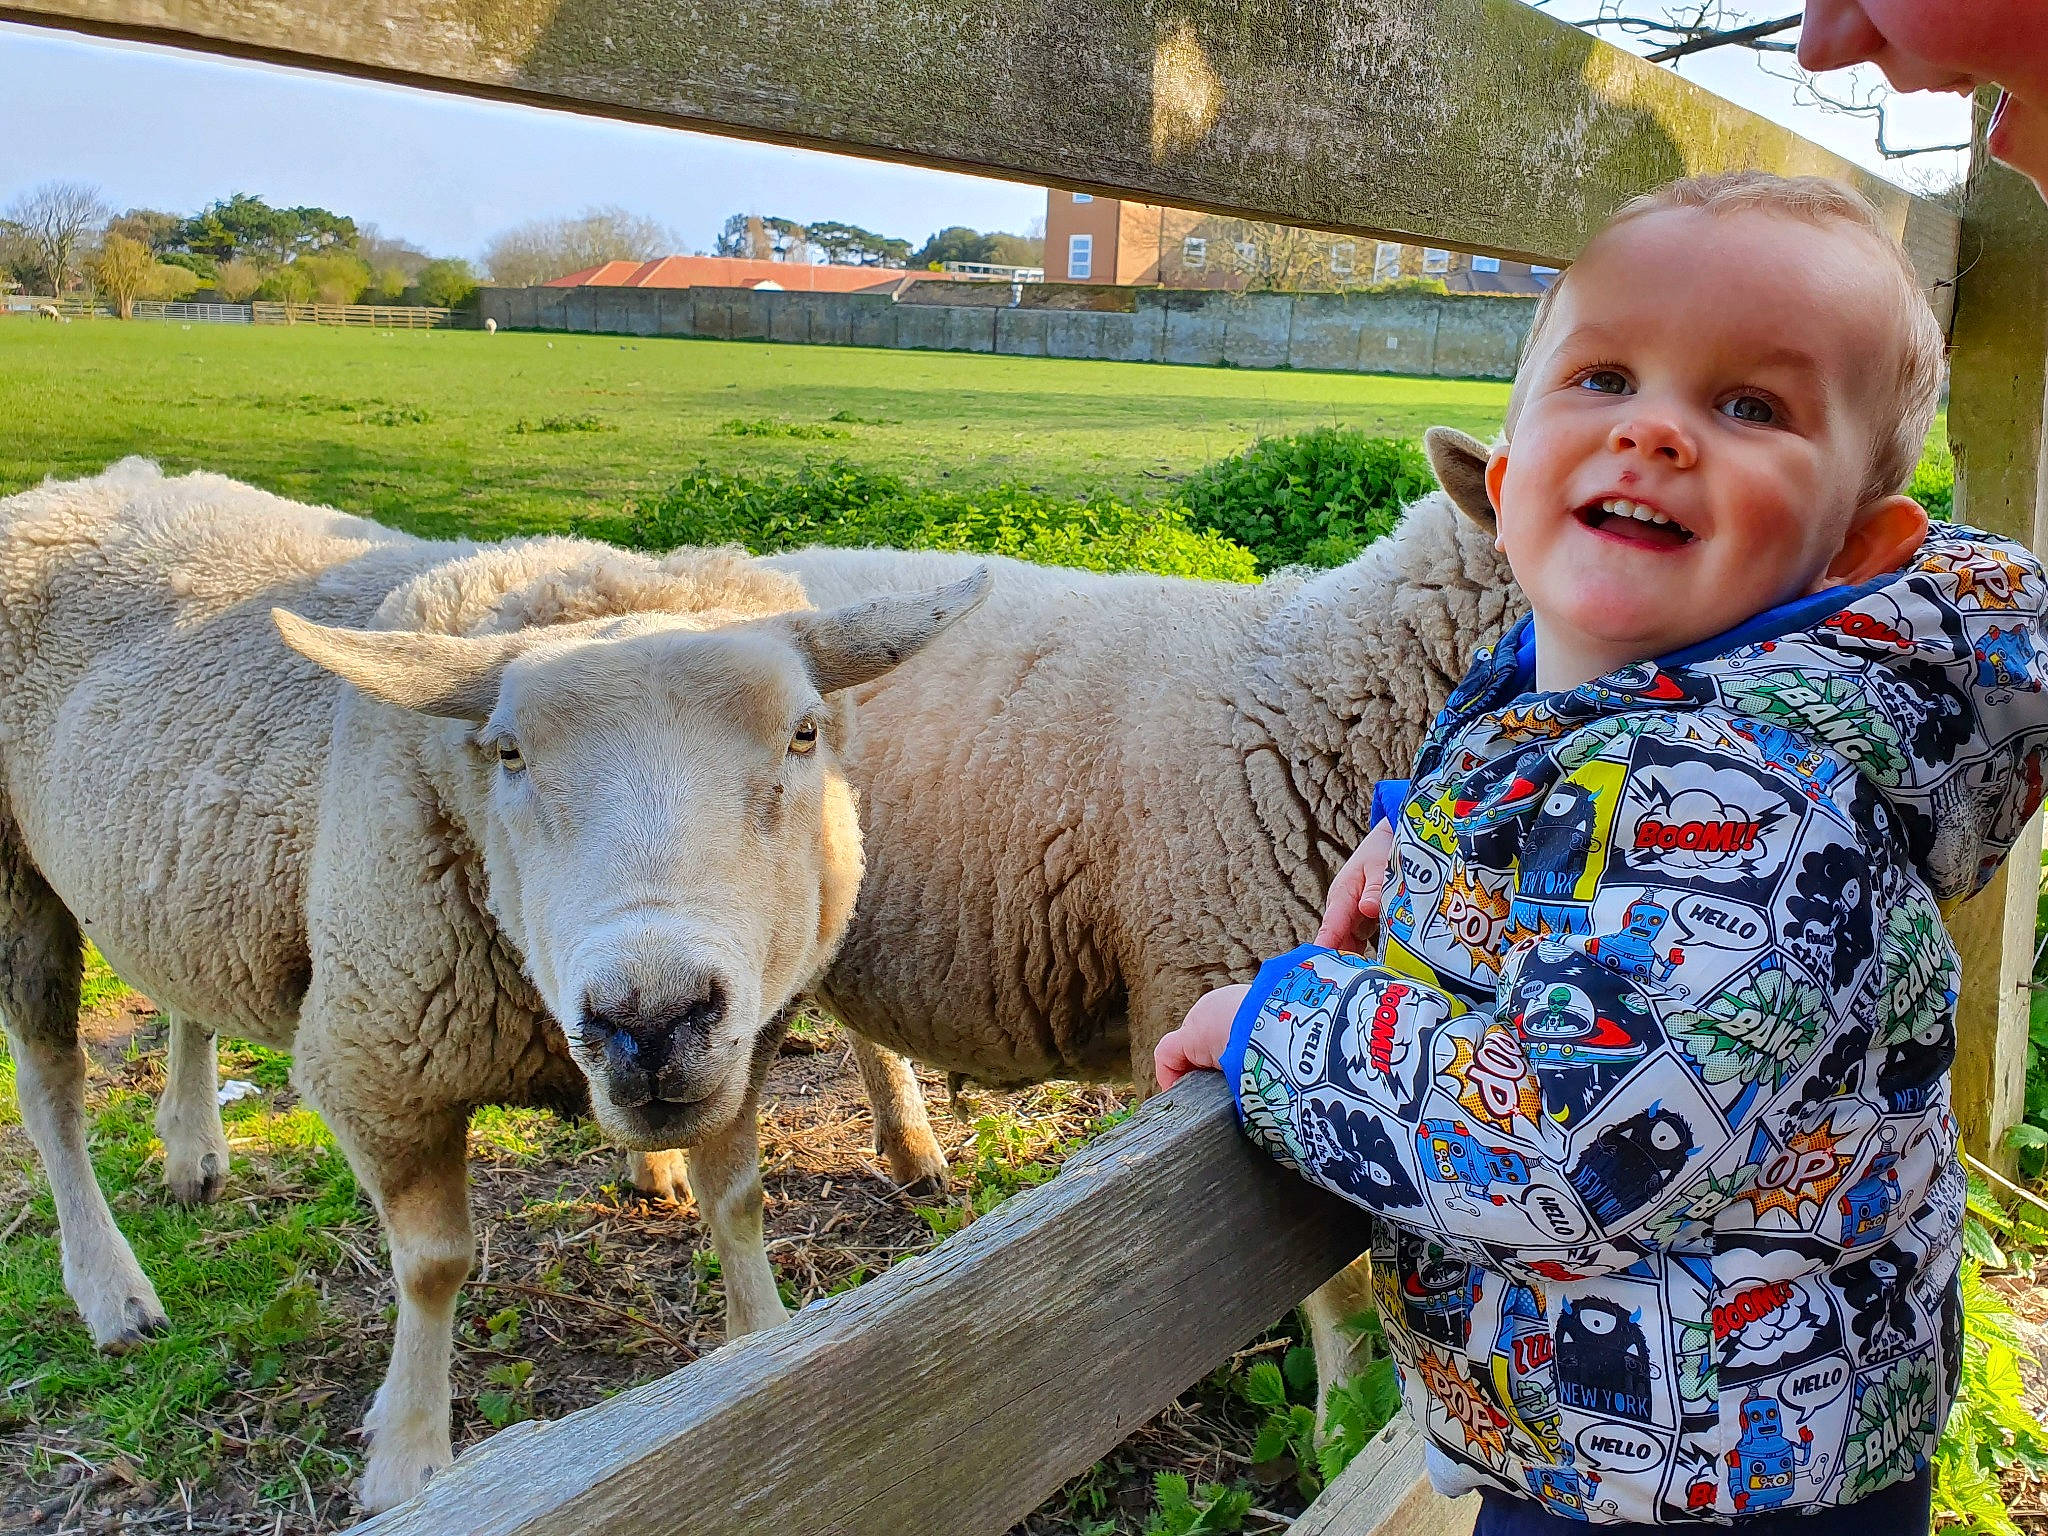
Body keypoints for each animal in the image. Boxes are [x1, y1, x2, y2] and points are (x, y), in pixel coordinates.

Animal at [0, 460, 985, 1512]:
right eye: (507, 753)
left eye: (804, 734)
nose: (649, 1021)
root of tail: (71, 487)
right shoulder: (375, 1062)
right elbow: (433, 1265)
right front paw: (408, 1456)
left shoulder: (744, 1043)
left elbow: (741, 1203)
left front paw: (760, 1341)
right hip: (16, 877)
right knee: (52, 1091)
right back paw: (112, 1291)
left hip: (188, 892)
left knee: (186, 999)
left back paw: (193, 1153)